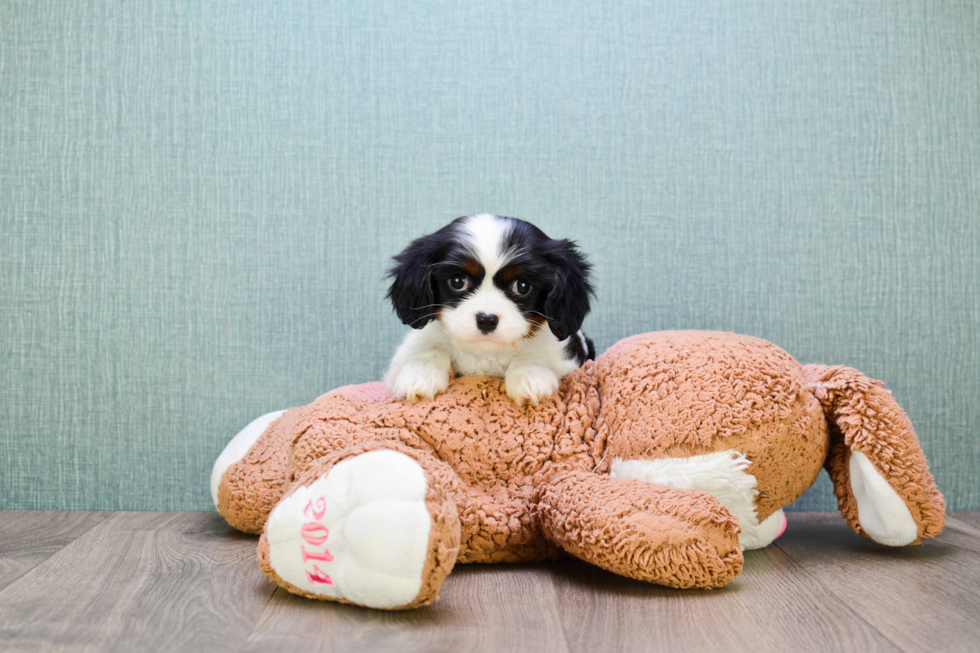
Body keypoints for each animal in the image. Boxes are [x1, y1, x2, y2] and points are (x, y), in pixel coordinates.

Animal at [384, 214, 596, 404]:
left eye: (522, 286)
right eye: (458, 281)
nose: (486, 319)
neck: (485, 353)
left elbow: (532, 355)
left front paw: (530, 375)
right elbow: (429, 348)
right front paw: (419, 374)